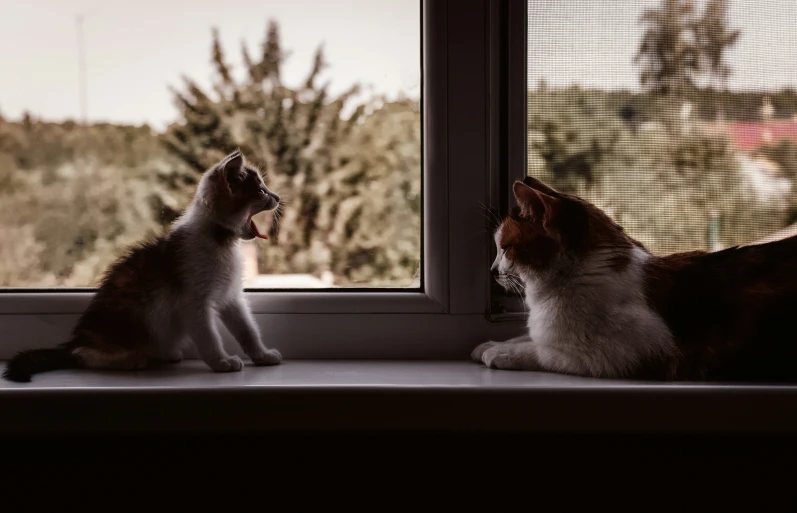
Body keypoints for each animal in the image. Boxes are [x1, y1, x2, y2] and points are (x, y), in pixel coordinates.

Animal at [2, 148, 282, 380]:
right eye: (260, 190)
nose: (278, 197)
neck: (221, 241)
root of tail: (78, 338)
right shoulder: (193, 301)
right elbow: (208, 335)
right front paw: (221, 361)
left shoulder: (231, 296)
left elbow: (247, 329)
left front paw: (262, 354)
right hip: (125, 321)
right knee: (85, 356)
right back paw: (130, 359)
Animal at [472, 176, 797, 380]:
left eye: (505, 248)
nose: (491, 271)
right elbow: (527, 336)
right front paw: (490, 344)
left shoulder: (629, 354)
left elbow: (542, 350)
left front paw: (502, 351)